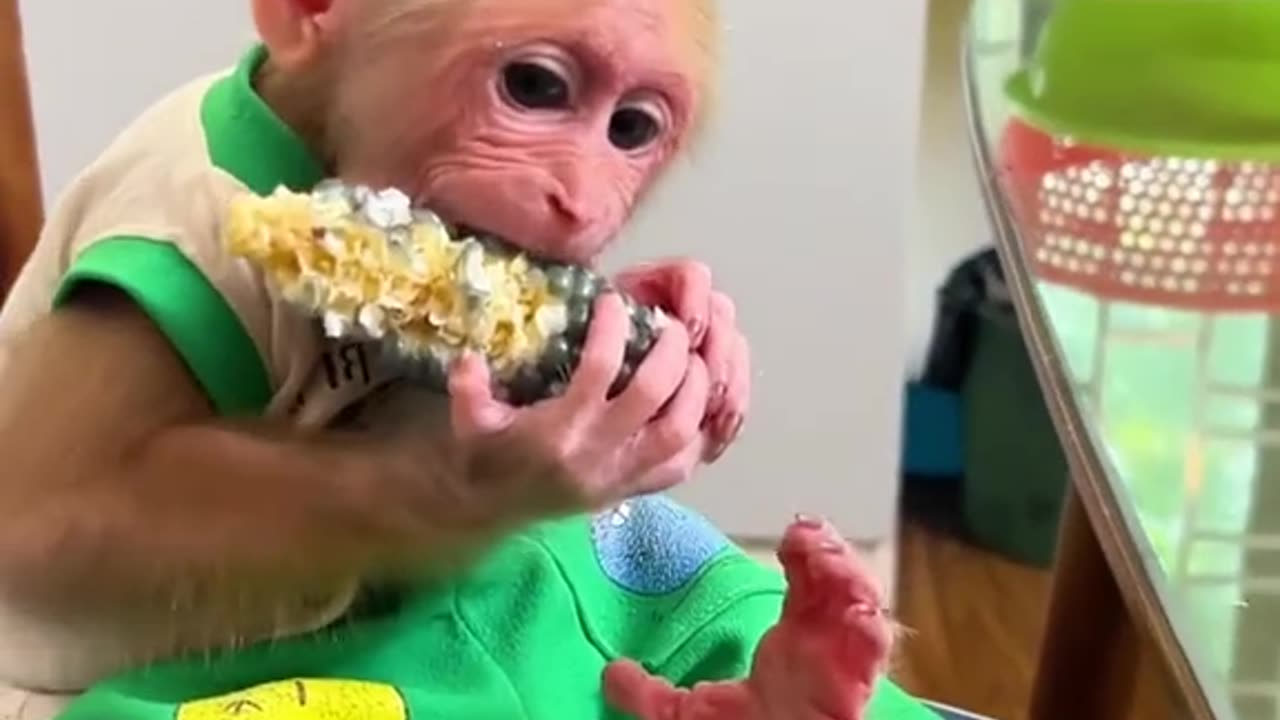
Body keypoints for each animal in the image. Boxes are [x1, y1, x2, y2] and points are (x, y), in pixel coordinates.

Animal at [0, 1, 906, 717]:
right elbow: (48, 509)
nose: (580, 201)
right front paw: (487, 472)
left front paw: (696, 317)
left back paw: (802, 669)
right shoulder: (169, 229)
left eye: (632, 129)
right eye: (536, 87)